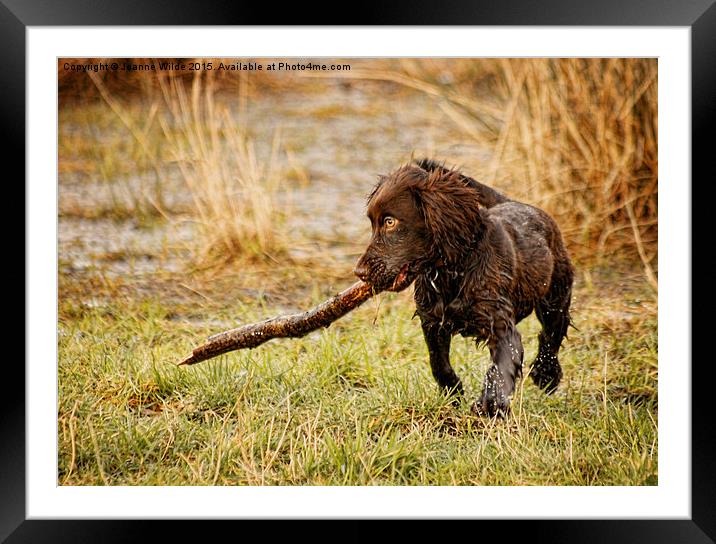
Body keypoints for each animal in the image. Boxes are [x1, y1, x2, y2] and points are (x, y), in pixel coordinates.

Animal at [354, 158, 576, 416]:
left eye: (390, 222)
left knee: (553, 331)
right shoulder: (432, 322)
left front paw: (490, 405)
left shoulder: (500, 326)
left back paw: (546, 374)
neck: (451, 271)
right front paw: (453, 391)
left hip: (555, 294)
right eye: (372, 223)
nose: (359, 273)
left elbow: (499, 369)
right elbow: (437, 362)